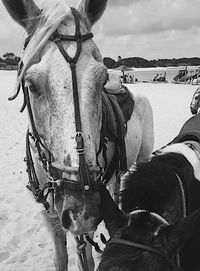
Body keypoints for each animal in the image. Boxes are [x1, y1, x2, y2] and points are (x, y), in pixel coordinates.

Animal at [2, 1, 154, 270]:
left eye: (103, 79)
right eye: (32, 86)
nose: (81, 209)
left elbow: (88, 259)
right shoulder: (49, 213)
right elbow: (60, 258)